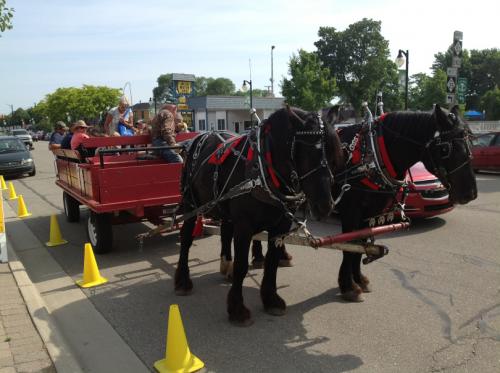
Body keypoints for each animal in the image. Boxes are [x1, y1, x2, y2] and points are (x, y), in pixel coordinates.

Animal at [176, 106, 344, 324]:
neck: (263, 168)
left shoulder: (280, 225)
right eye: (307, 153)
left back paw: (225, 265)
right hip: (190, 204)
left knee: (225, 231)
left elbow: (272, 262)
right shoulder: (244, 224)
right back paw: (182, 280)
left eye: (333, 155)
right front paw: (237, 308)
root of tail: (201, 136)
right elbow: (241, 265)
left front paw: (271, 299)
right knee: (186, 237)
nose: (325, 205)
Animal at [332, 103, 476, 300]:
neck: (369, 153)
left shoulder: (368, 212)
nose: (471, 193)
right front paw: (348, 286)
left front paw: (359, 279)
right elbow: (349, 246)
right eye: (445, 149)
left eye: (470, 143)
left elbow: (360, 244)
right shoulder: (350, 210)